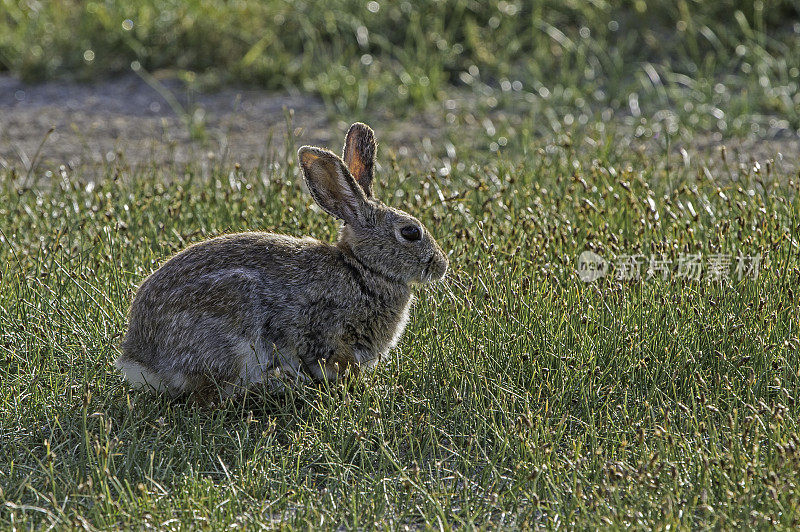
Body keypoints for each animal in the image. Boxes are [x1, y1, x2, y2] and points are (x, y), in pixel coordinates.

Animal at [115, 123, 450, 400]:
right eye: (410, 233)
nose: (442, 266)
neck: (362, 269)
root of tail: (141, 360)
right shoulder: (330, 336)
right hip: (234, 322)